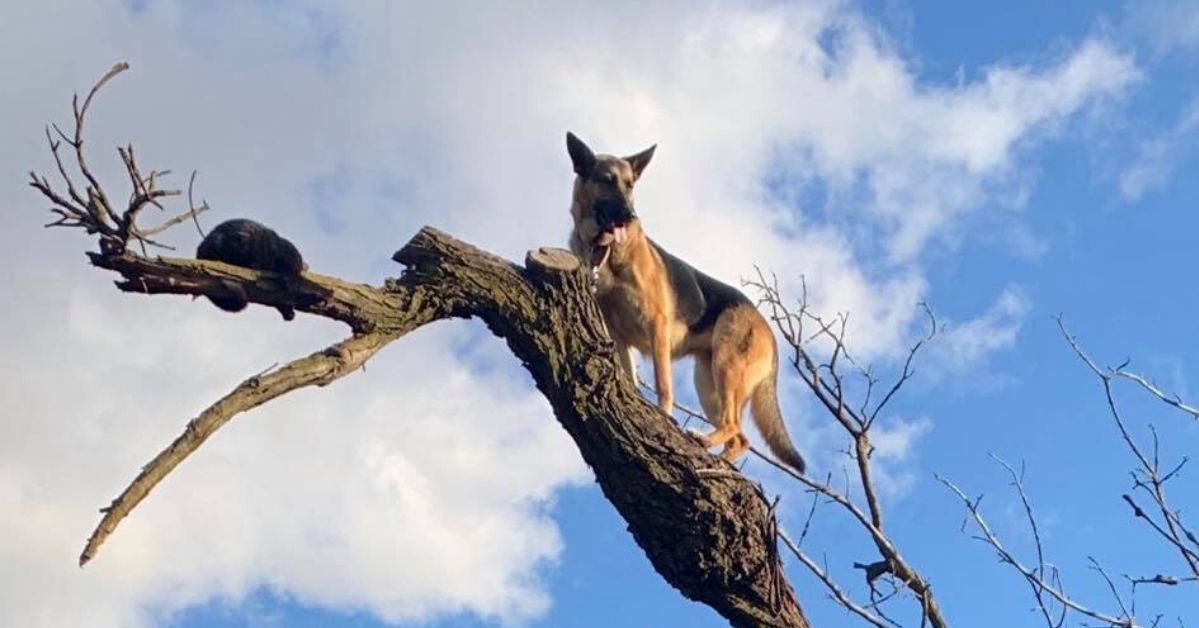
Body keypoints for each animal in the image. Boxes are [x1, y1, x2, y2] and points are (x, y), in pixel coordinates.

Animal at [561, 133, 805, 476]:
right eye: (607, 181)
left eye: (630, 185)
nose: (631, 215)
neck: (605, 253)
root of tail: (766, 329)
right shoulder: (616, 335)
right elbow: (629, 378)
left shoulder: (656, 325)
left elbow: (663, 383)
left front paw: (662, 414)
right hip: (707, 381)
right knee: (741, 438)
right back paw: (718, 460)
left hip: (726, 369)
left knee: (735, 426)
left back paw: (705, 442)